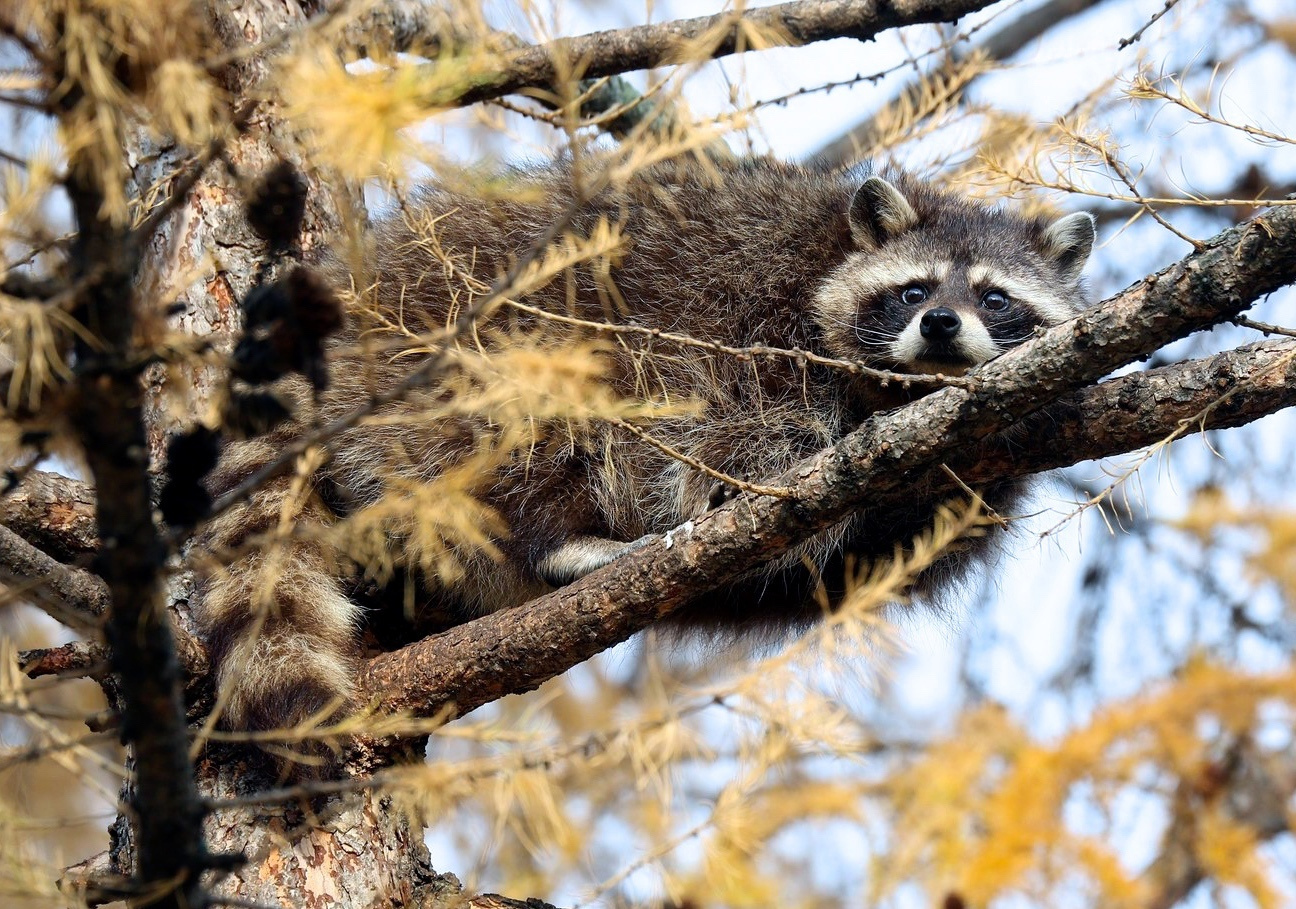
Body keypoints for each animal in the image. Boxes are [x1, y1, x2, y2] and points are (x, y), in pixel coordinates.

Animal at [194, 156, 1093, 757]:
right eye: (914, 290)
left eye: (995, 298)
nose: (940, 326)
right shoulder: (755, 328)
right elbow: (743, 437)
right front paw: (741, 488)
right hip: (463, 346)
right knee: (527, 437)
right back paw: (558, 536)